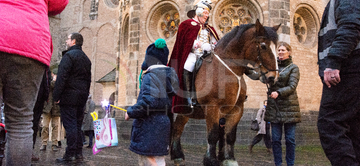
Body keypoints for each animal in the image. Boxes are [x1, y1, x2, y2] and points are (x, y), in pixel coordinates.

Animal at [171, 19, 282, 166]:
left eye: (277, 47)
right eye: (263, 46)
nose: (272, 77)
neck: (228, 69)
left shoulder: (237, 109)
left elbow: (230, 136)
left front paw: (229, 159)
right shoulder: (212, 108)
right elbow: (213, 135)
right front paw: (210, 160)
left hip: (184, 111)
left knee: (178, 127)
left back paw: (177, 156)